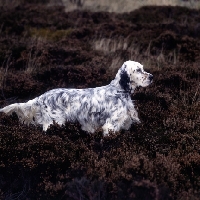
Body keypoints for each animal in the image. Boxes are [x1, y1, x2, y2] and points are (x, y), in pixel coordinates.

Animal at [0, 60, 153, 136]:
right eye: (138, 70)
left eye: (143, 68)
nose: (152, 77)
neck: (119, 91)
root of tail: (41, 97)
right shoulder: (111, 125)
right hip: (55, 122)